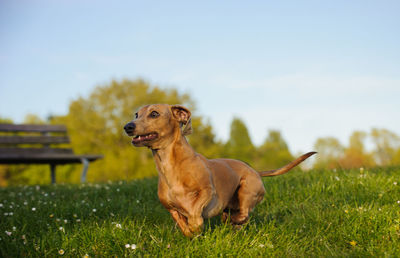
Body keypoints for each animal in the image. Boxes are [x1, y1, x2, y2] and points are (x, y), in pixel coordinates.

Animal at [123, 104, 318, 237]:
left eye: (154, 114)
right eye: (137, 114)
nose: (128, 126)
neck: (170, 166)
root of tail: (255, 171)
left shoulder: (208, 192)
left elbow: (195, 210)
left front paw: (196, 224)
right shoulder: (170, 208)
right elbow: (181, 222)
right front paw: (191, 232)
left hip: (247, 190)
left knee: (245, 213)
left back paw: (236, 220)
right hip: (230, 207)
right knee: (237, 218)